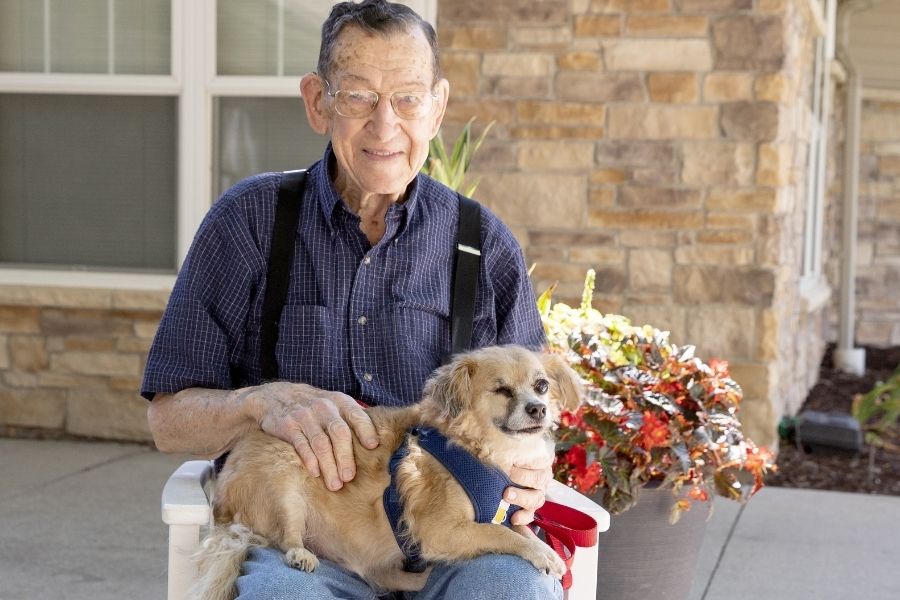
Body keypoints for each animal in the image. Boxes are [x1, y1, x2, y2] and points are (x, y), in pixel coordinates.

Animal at [192, 344, 580, 596]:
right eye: (501, 389)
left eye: (542, 386)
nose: (538, 408)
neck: (483, 451)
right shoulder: (440, 530)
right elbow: (500, 534)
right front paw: (543, 553)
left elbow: (519, 528)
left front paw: (541, 545)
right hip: (284, 484)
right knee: (286, 535)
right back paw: (299, 553)